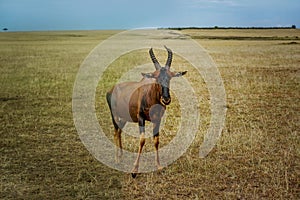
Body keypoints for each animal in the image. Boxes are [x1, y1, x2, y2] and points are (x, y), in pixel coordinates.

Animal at [105, 46, 185, 177]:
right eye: (156, 77)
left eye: (170, 77)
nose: (166, 99)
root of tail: (112, 89)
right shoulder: (141, 118)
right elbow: (142, 140)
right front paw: (134, 171)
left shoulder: (157, 120)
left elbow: (156, 140)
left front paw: (159, 166)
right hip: (114, 115)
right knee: (116, 132)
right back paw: (116, 159)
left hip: (125, 118)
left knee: (120, 130)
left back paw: (121, 155)